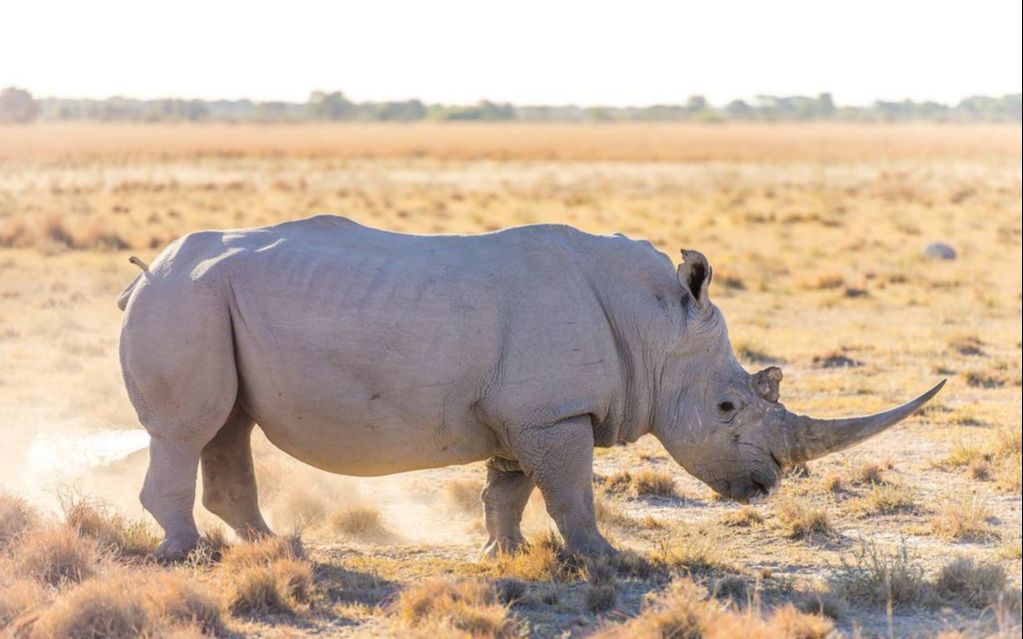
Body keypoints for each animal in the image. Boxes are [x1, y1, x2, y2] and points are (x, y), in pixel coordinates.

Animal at [117, 215, 943, 559]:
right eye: (727, 406)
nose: (764, 485)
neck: (652, 324)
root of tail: (147, 272)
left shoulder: (524, 410)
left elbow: (508, 486)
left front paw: (503, 551)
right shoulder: (552, 412)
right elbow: (571, 492)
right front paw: (608, 559)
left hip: (205, 302)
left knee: (227, 427)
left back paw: (273, 545)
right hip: (182, 301)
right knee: (188, 430)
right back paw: (187, 554)